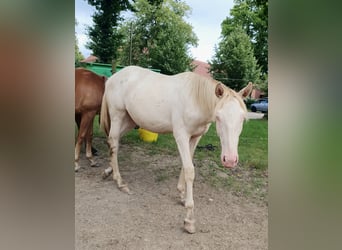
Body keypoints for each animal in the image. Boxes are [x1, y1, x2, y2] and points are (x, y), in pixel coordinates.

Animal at [100, 65, 252, 233]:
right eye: (218, 117)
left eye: (243, 118)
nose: (230, 160)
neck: (195, 99)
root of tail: (113, 78)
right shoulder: (181, 135)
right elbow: (190, 170)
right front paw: (189, 219)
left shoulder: (195, 137)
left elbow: (186, 165)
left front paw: (182, 196)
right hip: (118, 116)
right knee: (114, 142)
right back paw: (120, 182)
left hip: (130, 120)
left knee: (113, 142)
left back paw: (108, 171)